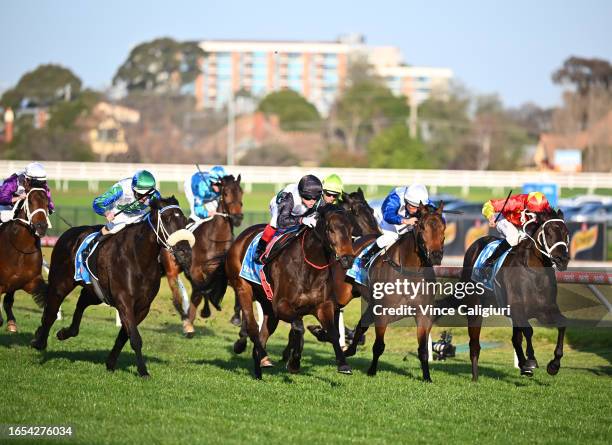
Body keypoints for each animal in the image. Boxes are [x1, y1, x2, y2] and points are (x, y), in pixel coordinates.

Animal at [30, 196, 194, 376]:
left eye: (184, 220)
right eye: (166, 219)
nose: (185, 252)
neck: (139, 259)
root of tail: (69, 232)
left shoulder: (143, 306)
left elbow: (125, 335)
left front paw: (110, 363)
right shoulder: (124, 300)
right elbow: (135, 338)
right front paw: (143, 371)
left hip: (96, 292)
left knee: (81, 303)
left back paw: (64, 333)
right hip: (61, 283)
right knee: (51, 312)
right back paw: (39, 341)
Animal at [160, 173, 244, 336]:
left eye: (241, 192)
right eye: (225, 193)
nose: (238, 217)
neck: (215, 239)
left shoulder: (223, 271)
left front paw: (236, 317)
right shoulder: (196, 270)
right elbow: (204, 290)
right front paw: (206, 310)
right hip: (172, 268)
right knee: (181, 290)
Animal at [226, 205, 356, 378]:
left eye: (351, 230)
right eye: (330, 229)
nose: (348, 259)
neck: (309, 268)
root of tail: (242, 237)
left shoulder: (323, 306)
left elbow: (333, 333)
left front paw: (343, 364)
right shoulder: (281, 306)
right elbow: (299, 328)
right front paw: (294, 363)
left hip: (268, 304)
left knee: (264, 332)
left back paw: (260, 361)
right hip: (243, 288)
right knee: (252, 326)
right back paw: (247, 349)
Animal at [344, 203, 444, 380]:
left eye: (443, 227)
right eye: (422, 227)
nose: (436, 255)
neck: (410, 272)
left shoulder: (423, 314)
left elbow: (423, 349)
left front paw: (427, 377)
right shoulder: (383, 312)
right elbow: (378, 345)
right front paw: (371, 371)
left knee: (362, 324)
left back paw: (349, 350)